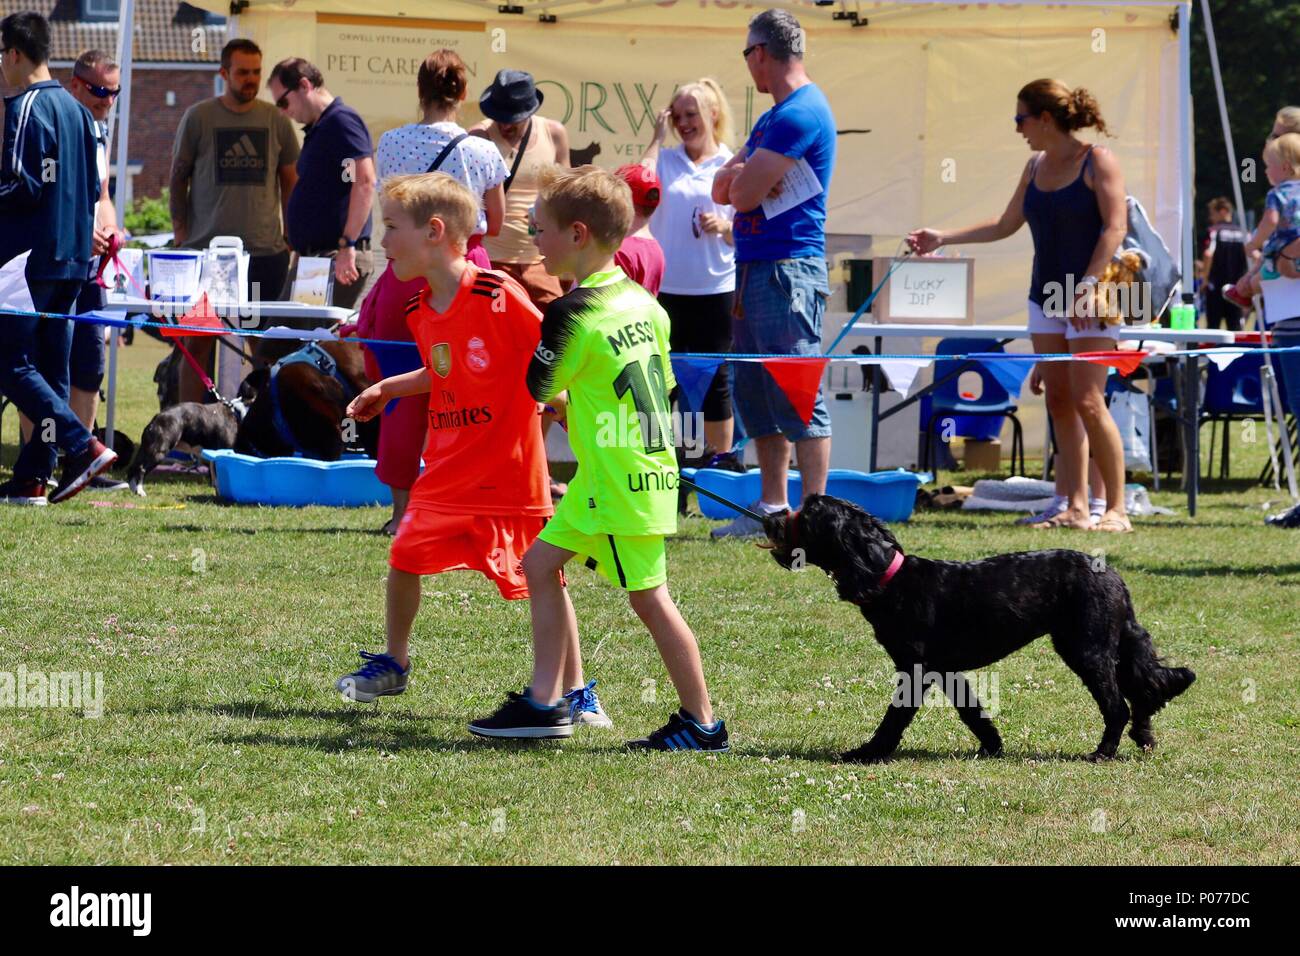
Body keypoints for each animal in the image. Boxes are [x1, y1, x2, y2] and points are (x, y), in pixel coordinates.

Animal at [759, 494, 1196, 764]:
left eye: (808, 514)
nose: (769, 517)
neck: (887, 576)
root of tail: (1115, 577)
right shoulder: (946, 670)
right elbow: (972, 711)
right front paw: (992, 746)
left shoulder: (916, 670)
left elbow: (894, 718)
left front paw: (868, 753)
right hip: (1110, 643)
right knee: (1144, 690)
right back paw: (1144, 738)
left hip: (1085, 648)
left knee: (1117, 704)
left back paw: (1103, 752)